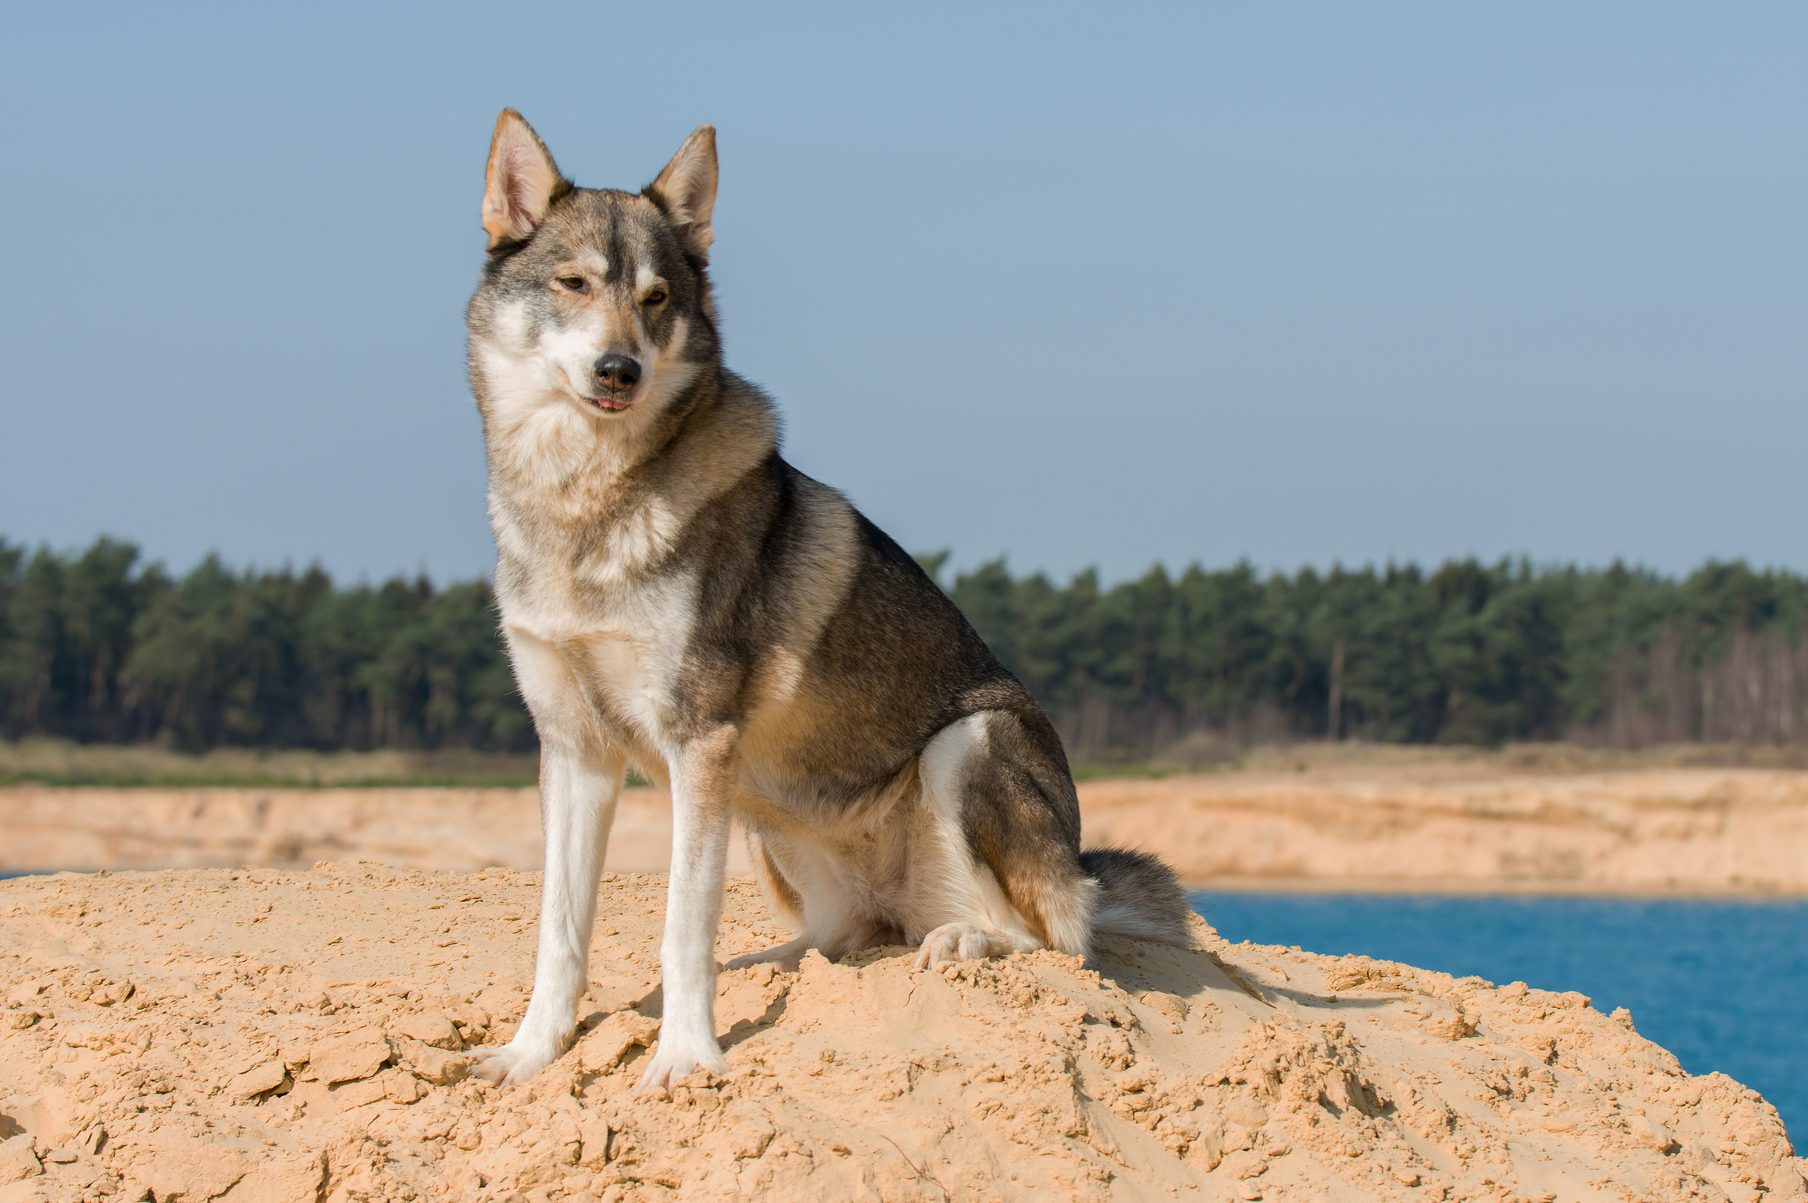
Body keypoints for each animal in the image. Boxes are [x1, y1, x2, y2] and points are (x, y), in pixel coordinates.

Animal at [466, 112, 1193, 1085]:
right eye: (574, 284)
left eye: (656, 299)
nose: (619, 370)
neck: (583, 502)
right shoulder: (575, 751)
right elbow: (561, 933)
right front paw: (530, 1051)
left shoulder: (700, 741)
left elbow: (681, 928)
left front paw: (686, 1059)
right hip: (761, 816)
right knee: (842, 936)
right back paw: (777, 959)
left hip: (964, 745)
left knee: (1052, 938)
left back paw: (963, 940)